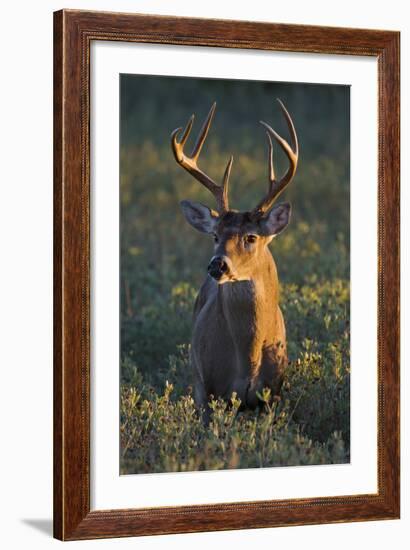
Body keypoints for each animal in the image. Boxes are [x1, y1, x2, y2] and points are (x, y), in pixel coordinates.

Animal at [170, 99, 298, 420]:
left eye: (251, 237)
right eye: (215, 235)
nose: (217, 264)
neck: (247, 358)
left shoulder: (273, 393)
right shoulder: (210, 389)